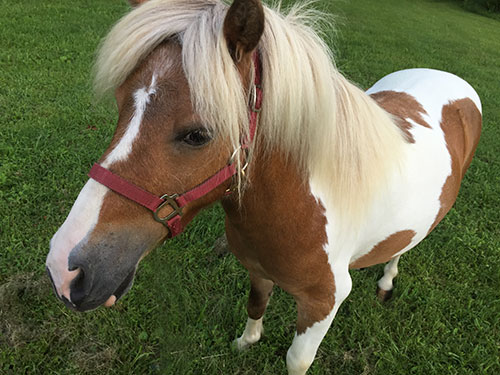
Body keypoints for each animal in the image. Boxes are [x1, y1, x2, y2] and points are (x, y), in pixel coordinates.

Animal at [45, 0, 482, 374]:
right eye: (121, 104)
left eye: (198, 135)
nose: (65, 268)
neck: (300, 203)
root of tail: (452, 81)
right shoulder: (256, 268)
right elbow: (256, 305)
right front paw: (245, 342)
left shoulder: (325, 302)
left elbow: (296, 360)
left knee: (405, 247)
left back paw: (387, 282)